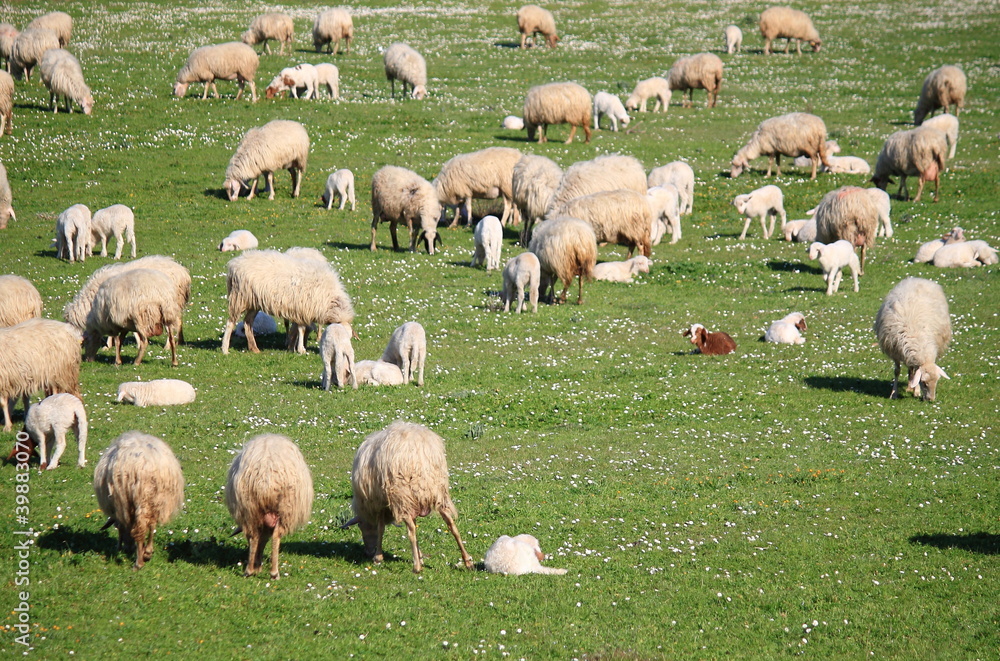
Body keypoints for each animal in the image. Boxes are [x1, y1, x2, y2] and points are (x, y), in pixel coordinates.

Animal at [93, 431, 184, 570]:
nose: (126, 548)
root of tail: (142, 464)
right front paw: (146, 552)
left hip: (132, 499)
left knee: (140, 529)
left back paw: (138, 563)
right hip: (153, 499)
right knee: (149, 525)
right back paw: (146, 555)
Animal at [221, 250, 354, 355]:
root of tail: (235, 262)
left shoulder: (299, 310)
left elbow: (296, 329)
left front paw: (291, 347)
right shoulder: (301, 309)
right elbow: (302, 329)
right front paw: (300, 349)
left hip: (253, 301)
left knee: (248, 322)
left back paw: (254, 348)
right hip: (239, 297)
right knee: (230, 323)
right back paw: (225, 349)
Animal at [226, 434, 313, 579]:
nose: (258, 565)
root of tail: (265, 479)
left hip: (249, 507)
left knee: (254, 535)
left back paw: (249, 571)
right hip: (286, 508)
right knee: (276, 536)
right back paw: (274, 573)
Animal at [343, 420, 474, 573]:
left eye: (361, 526)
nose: (368, 552)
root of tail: (418, 453)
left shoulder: (380, 502)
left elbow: (381, 528)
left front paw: (378, 557)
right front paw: (420, 556)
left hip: (401, 494)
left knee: (411, 529)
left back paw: (416, 567)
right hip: (437, 491)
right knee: (451, 524)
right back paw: (467, 561)